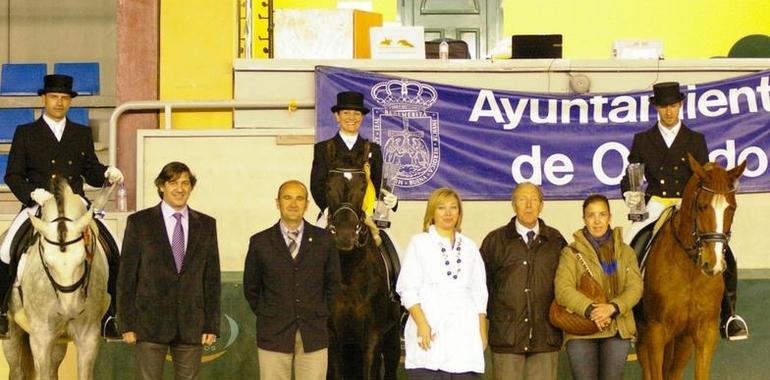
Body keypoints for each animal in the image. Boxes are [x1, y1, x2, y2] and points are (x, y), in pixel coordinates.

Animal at [2, 179, 109, 380]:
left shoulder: (88, 336)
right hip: (12, 333)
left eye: (83, 260)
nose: (70, 311)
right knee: (17, 370)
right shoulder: (41, 337)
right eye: (47, 262)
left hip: (59, 339)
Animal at [322, 162, 400, 378]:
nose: (345, 236)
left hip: (392, 334)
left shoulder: (373, 335)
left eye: (363, 187)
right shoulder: (332, 335)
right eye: (328, 186)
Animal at [636, 154, 744, 380]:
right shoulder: (656, 333)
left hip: (682, 339)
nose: (713, 265)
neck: (690, 271)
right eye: (701, 206)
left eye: (732, 208)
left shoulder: (704, 333)